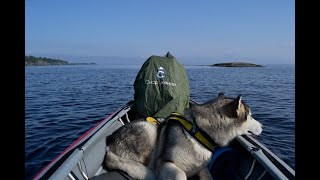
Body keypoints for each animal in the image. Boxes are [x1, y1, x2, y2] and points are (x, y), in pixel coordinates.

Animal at [104, 93, 262, 180]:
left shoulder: (201, 168)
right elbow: (181, 175)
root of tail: (109, 146)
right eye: (250, 116)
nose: (263, 127)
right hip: (148, 130)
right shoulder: (165, 163)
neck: (199, 132)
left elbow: (208, 175)